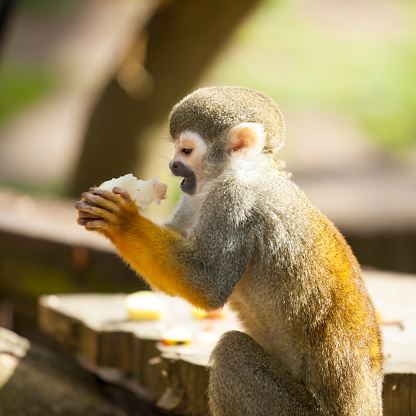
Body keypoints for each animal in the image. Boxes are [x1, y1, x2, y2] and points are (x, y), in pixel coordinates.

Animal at [75, 86, 384, 414]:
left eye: (186, 151)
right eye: (176, 151)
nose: (172, 165)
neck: (241, 171)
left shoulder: (235, 202)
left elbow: (206, 286)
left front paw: (121, 221)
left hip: (296, 409)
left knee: (230, 350)